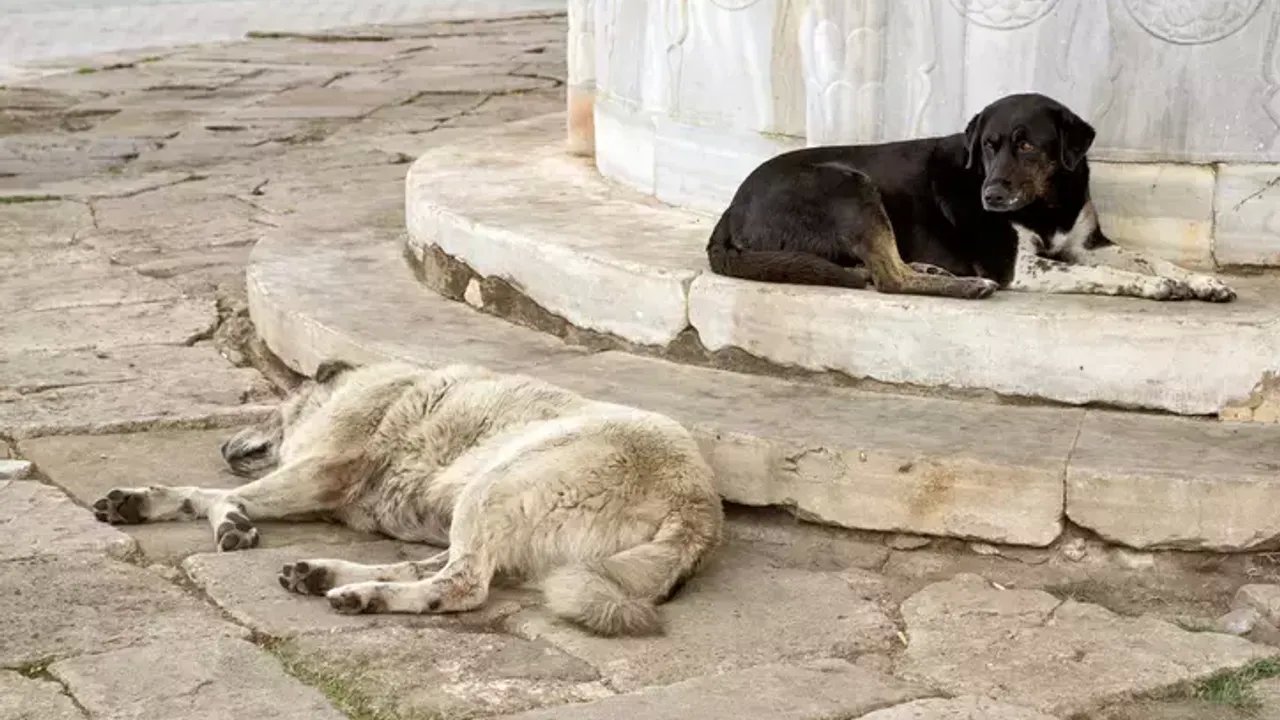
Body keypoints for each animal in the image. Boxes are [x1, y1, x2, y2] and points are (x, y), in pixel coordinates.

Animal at [706, 91, 1233, 299]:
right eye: (987, 146)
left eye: (1027, 145)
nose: (991, 196)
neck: (1049, 202)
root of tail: (729, 211)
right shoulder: (1020, 267)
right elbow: (1111, 275)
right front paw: (1156, 288)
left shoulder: (1088, 245)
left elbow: (1152, 259)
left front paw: (1203, 282)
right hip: (849, 185)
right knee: (888, 277)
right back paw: (967, 286)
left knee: (881, 268)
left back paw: (934, 271)